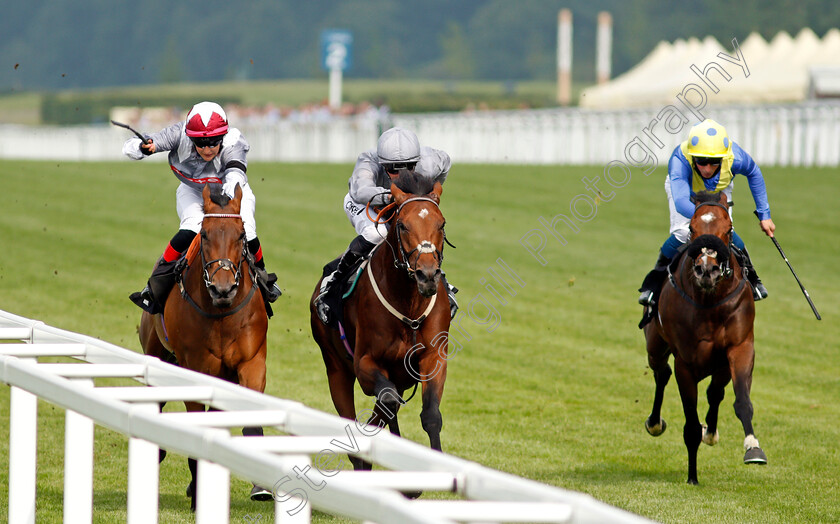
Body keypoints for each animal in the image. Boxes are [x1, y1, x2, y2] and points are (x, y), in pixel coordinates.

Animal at [139, 184, 270, 508]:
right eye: (206, 234)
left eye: (241, 235)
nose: (223, 289)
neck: (221, 312)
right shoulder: (196, 367)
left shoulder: (251, 362)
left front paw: (260, 485)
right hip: (156, 353)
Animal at [310, 173, 452, 470]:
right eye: (402, 225)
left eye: (441, 224)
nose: (427, 275)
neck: (409, 305)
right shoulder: (365, 362)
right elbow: (386, 401)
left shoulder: (433, 358)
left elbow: (430, 414)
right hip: (336, 367)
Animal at [644, 190, 768, 486]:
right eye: (691, 228)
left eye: (729, 229)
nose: (706, 271)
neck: (709, 301)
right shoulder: (686, 363)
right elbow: (690, 424)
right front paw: (692, 477)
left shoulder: (740, 347)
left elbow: (742, 400)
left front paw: (753, 448)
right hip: (655, 345)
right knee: (661, 373)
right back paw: (655, 423)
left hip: (720, 363)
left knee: (715, 392)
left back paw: (710, 431)